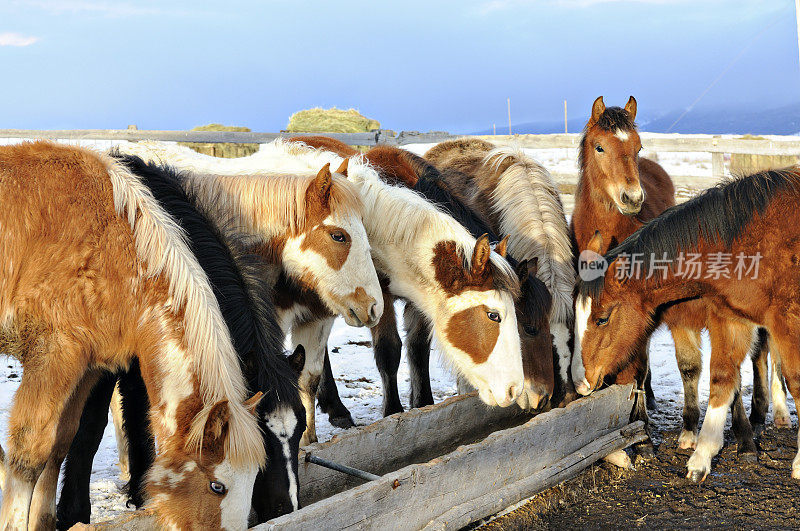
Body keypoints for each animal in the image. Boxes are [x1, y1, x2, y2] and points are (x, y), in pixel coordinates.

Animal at [54, 154, 306, 528]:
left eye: (301, 424)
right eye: (261, 436)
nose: (287, 510)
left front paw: (143, 496)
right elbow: (90, 428)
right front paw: (72, 514)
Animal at [576, 167, 800, 482]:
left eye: (602, 318)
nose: (582, 383)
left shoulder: (785, 320)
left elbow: (795, 380)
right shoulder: (731, 319)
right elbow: (722, 379)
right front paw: (702, 455)